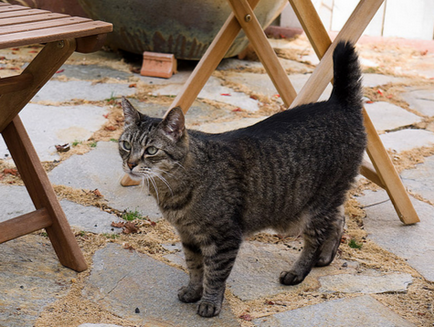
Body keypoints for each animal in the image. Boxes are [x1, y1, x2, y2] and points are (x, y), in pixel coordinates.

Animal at [118, 40, 366, 318]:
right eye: (126, 145)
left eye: (151, 150)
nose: (130, 164)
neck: (173, 188)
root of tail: (338, 103)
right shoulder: (188, 236)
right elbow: (195, 267)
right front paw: (193, 291)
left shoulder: (223, 237)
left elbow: (214, 274)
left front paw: (210, 302)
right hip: (321, 201)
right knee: (340, 218)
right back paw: (325, 257)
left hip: (315, 205)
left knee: (315, 238)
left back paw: (299, 271)